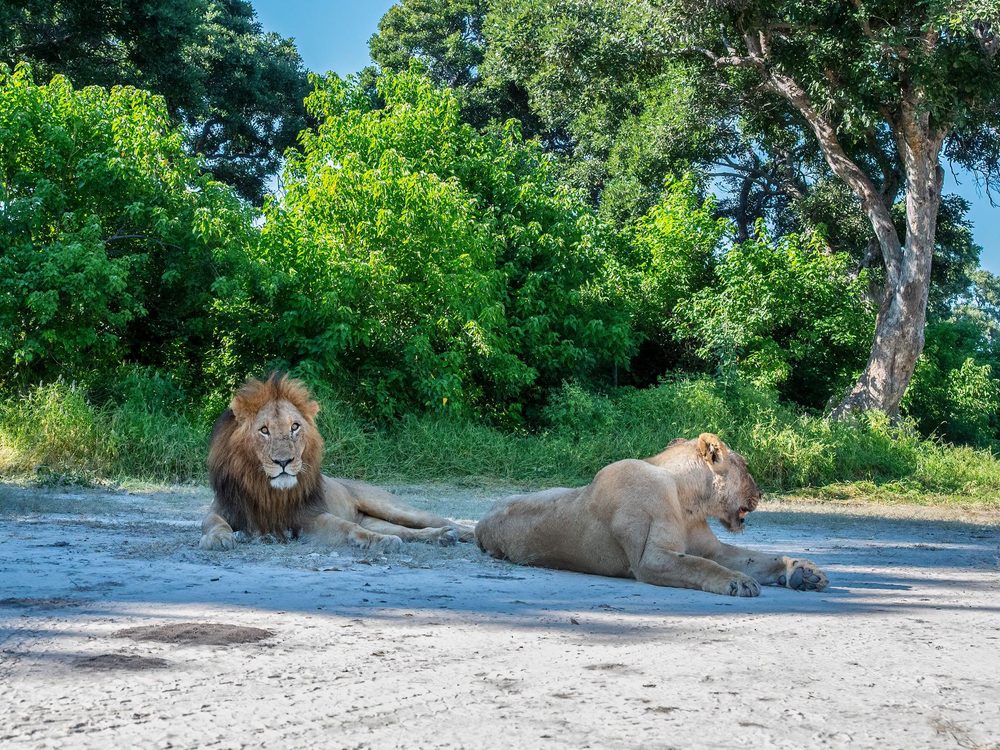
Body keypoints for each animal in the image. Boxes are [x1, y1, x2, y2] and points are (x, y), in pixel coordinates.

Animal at [199, 373, 475, 551]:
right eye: (264, 430)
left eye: (295, 427)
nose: (284, 461)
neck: (266, 489)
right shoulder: (223, 507)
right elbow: (212, 522)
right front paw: (218, 539)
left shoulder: (310, 517)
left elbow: (347, 527)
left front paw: (379, 542)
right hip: (376, 519)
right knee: (407, 532)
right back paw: (442, 538)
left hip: (393, 507)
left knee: (439, 521)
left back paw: (464, 533)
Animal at [475, 434, 827, 597]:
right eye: (745, 466)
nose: (762, 493)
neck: (687, 500)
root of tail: (480, 522)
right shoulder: (650, 558)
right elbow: (700, 565)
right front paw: (738, 581)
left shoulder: (714, 548)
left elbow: (759, 557)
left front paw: (803, 571)